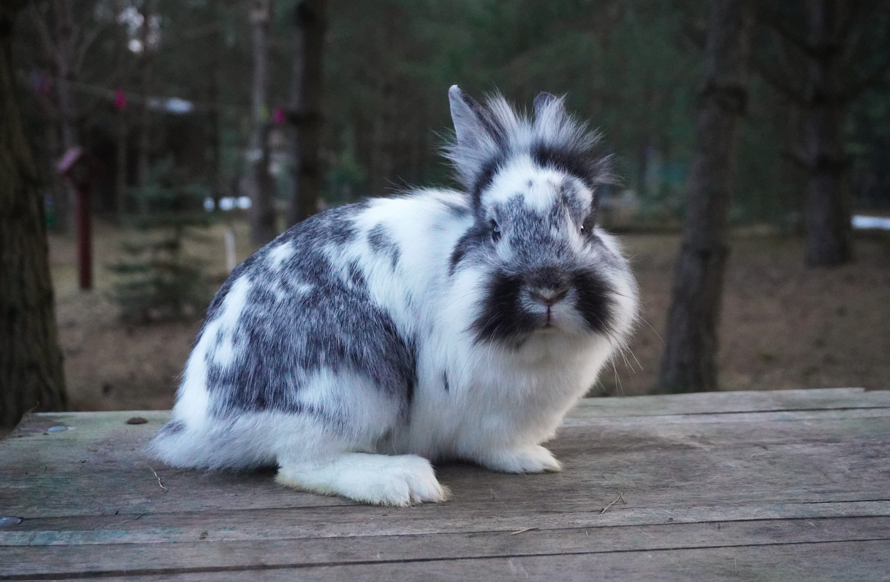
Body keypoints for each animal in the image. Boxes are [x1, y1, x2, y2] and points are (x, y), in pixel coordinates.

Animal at [149, 86, 639, 506]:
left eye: (586, 225)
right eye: (495, 228)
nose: (547, 288)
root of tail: (197, 421)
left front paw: (533, 459)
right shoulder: (486, 416)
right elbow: (492, 445)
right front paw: (531, 459)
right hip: (350, 387)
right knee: (299, 464)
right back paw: (402, 480)